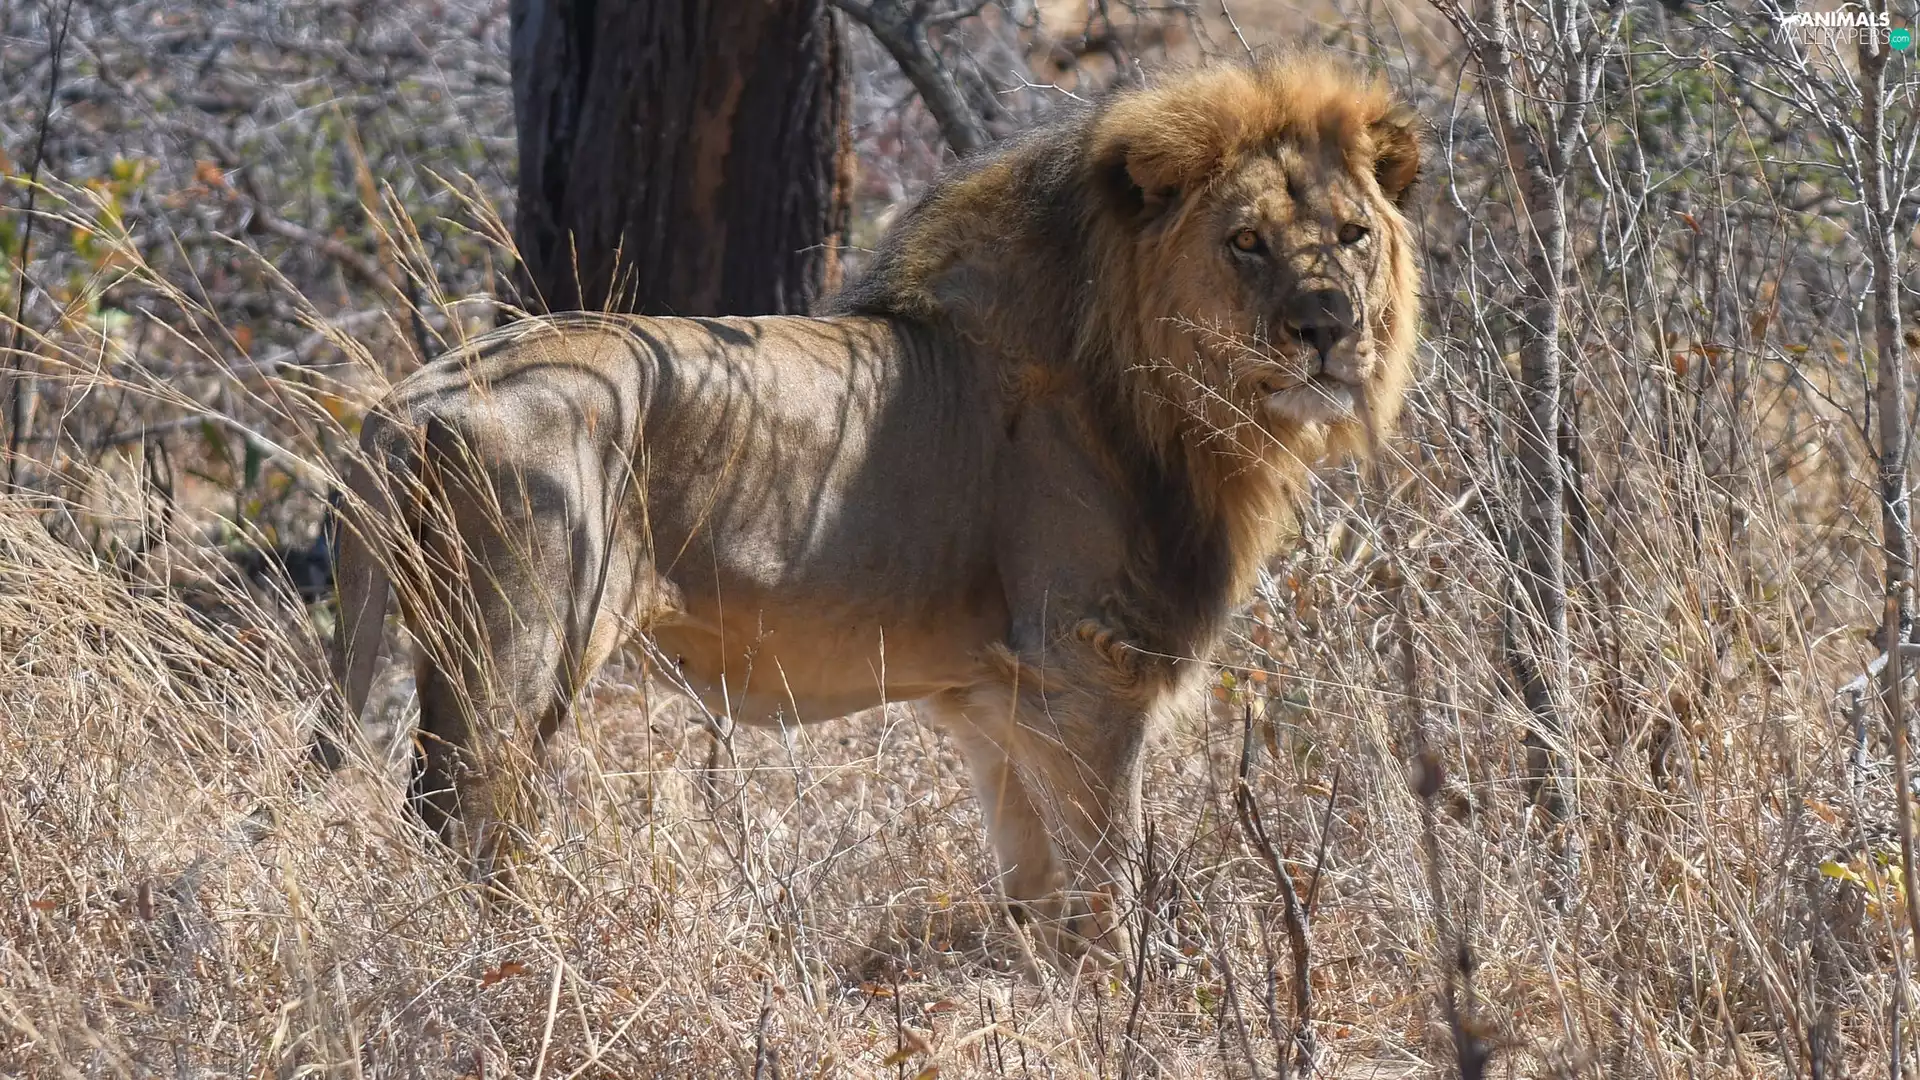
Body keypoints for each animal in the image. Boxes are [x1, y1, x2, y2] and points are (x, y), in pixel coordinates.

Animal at [323, 55, 1421, 960]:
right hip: (523, 642)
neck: (1171, 402)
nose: (1329, 329)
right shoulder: (1086, 671)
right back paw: (508, 960)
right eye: (1246, 241)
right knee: (463, 808)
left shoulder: (999, 702)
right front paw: (1127, 1009)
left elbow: (1035, 894)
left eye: (1353, 236)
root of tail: (406, 400)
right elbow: (1105, 890)